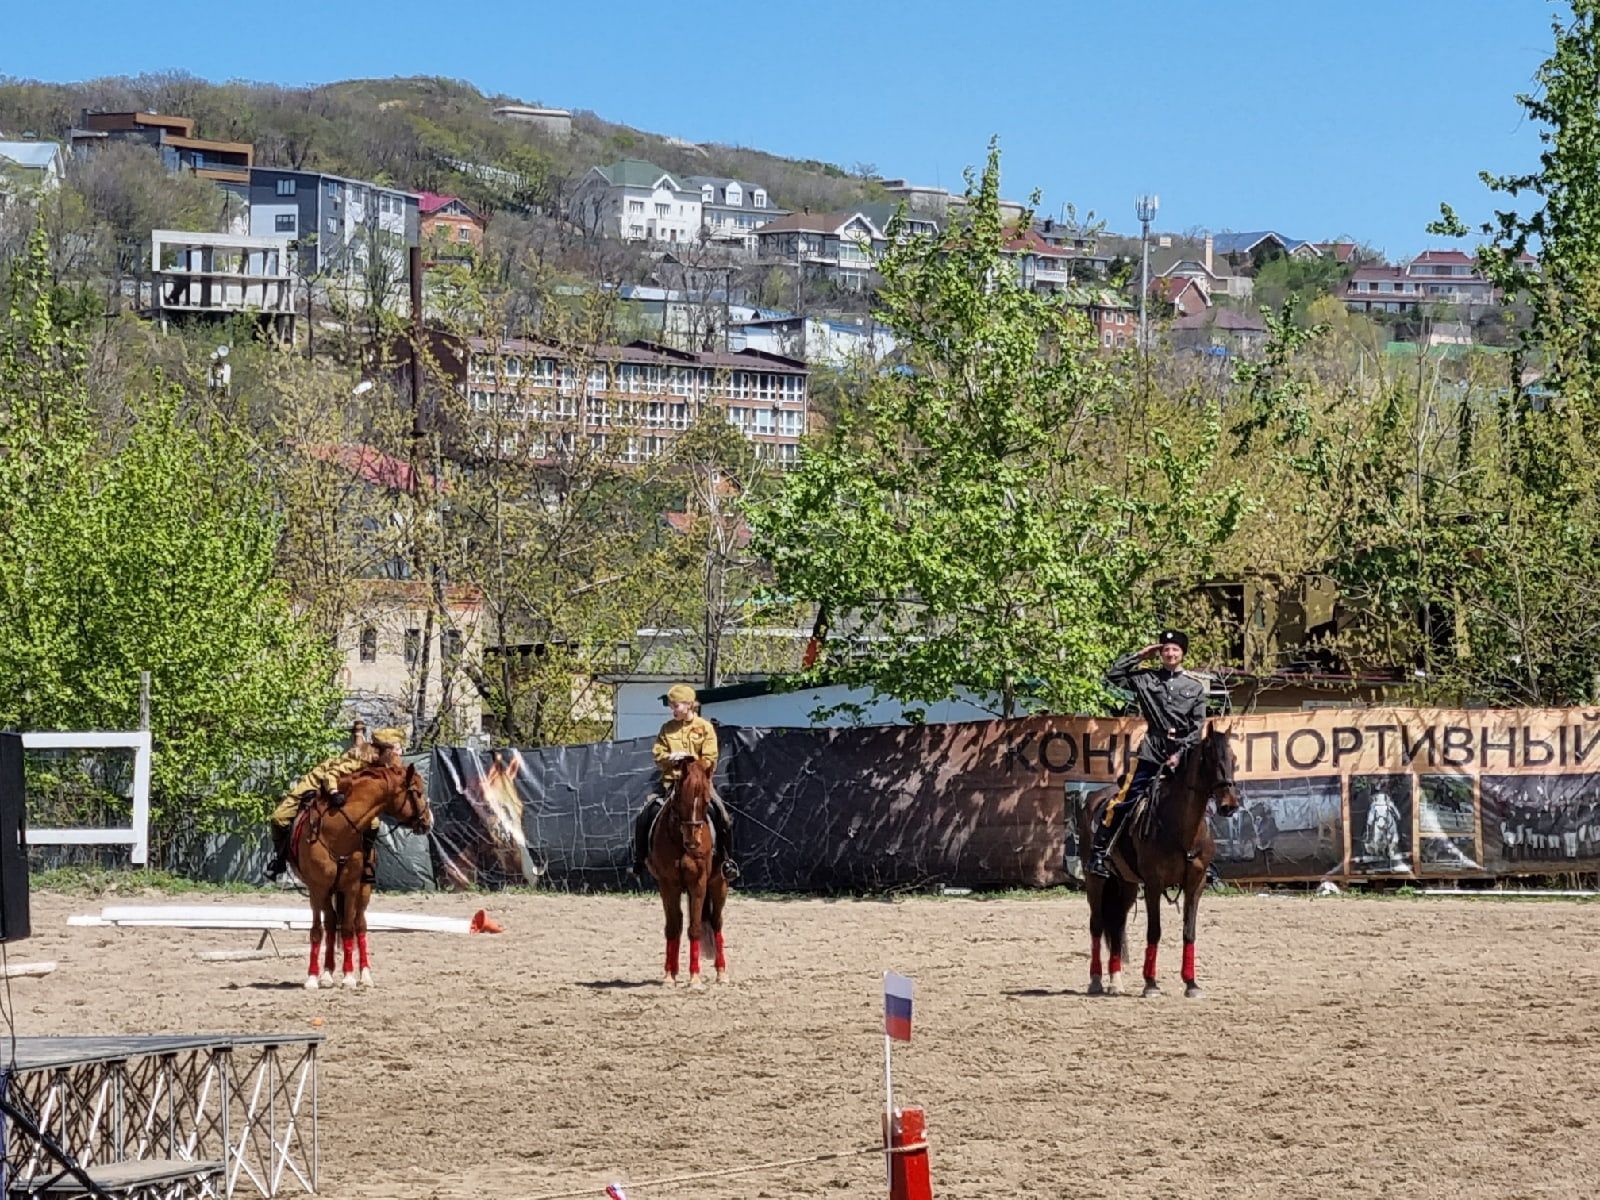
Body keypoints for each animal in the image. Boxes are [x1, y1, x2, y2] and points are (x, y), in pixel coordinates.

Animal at [292, 764, 432, 992]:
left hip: (363, 890)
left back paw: (365, 975)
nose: (429, 821)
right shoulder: (317, 888)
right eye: (418, 792)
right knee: (330, 923)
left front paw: (349, 977)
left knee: (359, 925)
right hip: (328, 892)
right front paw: (312, 978)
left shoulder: (351, 887)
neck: (337, 831)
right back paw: (327, 974)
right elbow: (316, 930)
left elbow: (349, 929)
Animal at [643, 764, 732, 992]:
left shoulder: (698, 883)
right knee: (682, 921)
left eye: (706, 801)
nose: (693, 841)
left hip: (719, 885)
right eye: (680, 799)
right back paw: (674, 971)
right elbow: (673, 927)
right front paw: (668, 976)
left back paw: (721, 972)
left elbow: (696, 928)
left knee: (716, 922)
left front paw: (695, 978)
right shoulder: (668, 884)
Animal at [1075, 729, 1235, 998]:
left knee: (1117, 924)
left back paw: (1115, 981)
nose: (1229, 805)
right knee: (1096, 926)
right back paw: (1096, 981)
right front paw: (1150, 983)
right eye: (1211, 758)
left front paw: (1191, 984)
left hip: (1126, 885)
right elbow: (1154, 931)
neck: (1181, 829)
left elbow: (1189, 932)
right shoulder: (1153, 884)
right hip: (1096, 881)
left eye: (1233, 758)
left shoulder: (1196, 884)